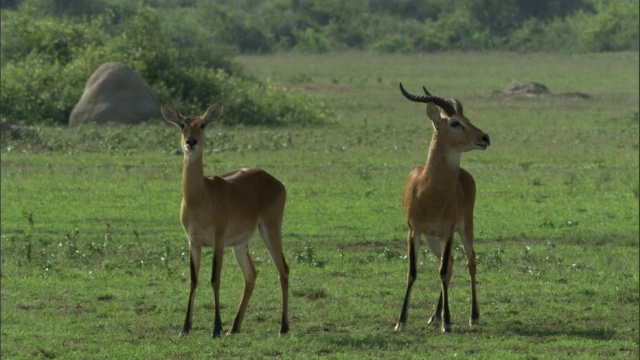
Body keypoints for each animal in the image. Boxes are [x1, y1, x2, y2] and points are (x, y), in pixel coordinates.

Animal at [160, 103, 290, 338]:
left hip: (270, 229)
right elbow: (194, 280)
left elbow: (214, 279)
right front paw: (185, 328)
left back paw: (283, 327)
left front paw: (216, 328)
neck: (200, 196)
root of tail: (275, 180)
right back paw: (234, 327)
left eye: (202, 124)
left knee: (283, 269)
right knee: (251, 275)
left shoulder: (218, 240)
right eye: (182, 124)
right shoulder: (193, 242)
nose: (190, 142)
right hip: (240, 244)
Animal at [392, 83, 492, 334]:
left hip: (464, 228)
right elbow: (412, 272)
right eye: (455, 122)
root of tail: (465, 175)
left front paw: (448, 323)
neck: (430, 192)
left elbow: (443, 272)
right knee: (452, 262)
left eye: (467, 118)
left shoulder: (448, 231)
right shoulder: (414, 231)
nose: (485, 138)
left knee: (469, 261)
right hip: (432, 238)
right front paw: (401, 321)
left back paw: (472, 316)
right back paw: (434, 316)